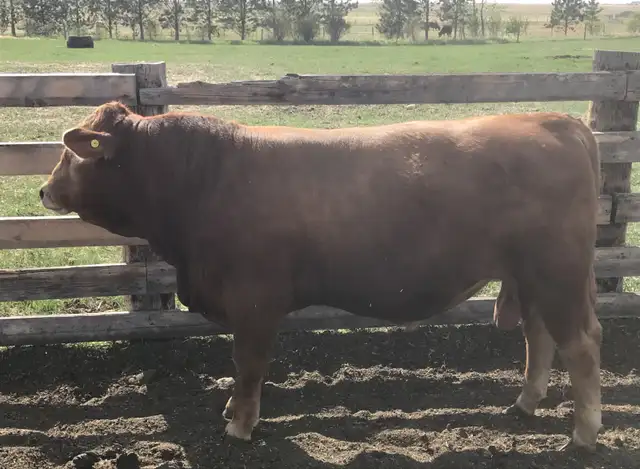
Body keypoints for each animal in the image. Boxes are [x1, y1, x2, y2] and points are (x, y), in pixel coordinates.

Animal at [39, 101, 603, 452]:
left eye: (71, 154)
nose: (44, 190)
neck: (203, 179)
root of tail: (554, 120)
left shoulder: (255, 302)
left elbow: (248, 365)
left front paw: (240, 425)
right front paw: (231, 410)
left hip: (557, 273)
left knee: (579, 345)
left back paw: (584, 434)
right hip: (531, 277)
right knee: (539, 337)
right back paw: (525, 404)